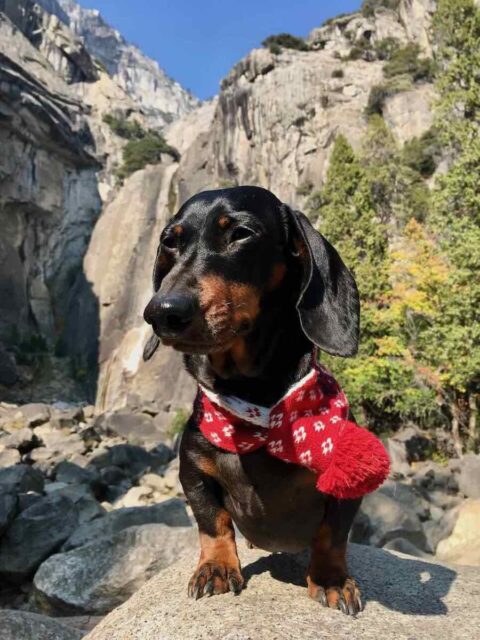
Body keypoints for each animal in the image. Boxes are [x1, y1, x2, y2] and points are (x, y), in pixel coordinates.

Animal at [144, 185, 362, 616]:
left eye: (241, 234)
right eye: (170, 242)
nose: (161, 311)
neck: (254, 405)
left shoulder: (349, 482)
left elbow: (332, 534)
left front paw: (331, 579)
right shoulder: (192, 471)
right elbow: (213, 522)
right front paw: (215, 567)